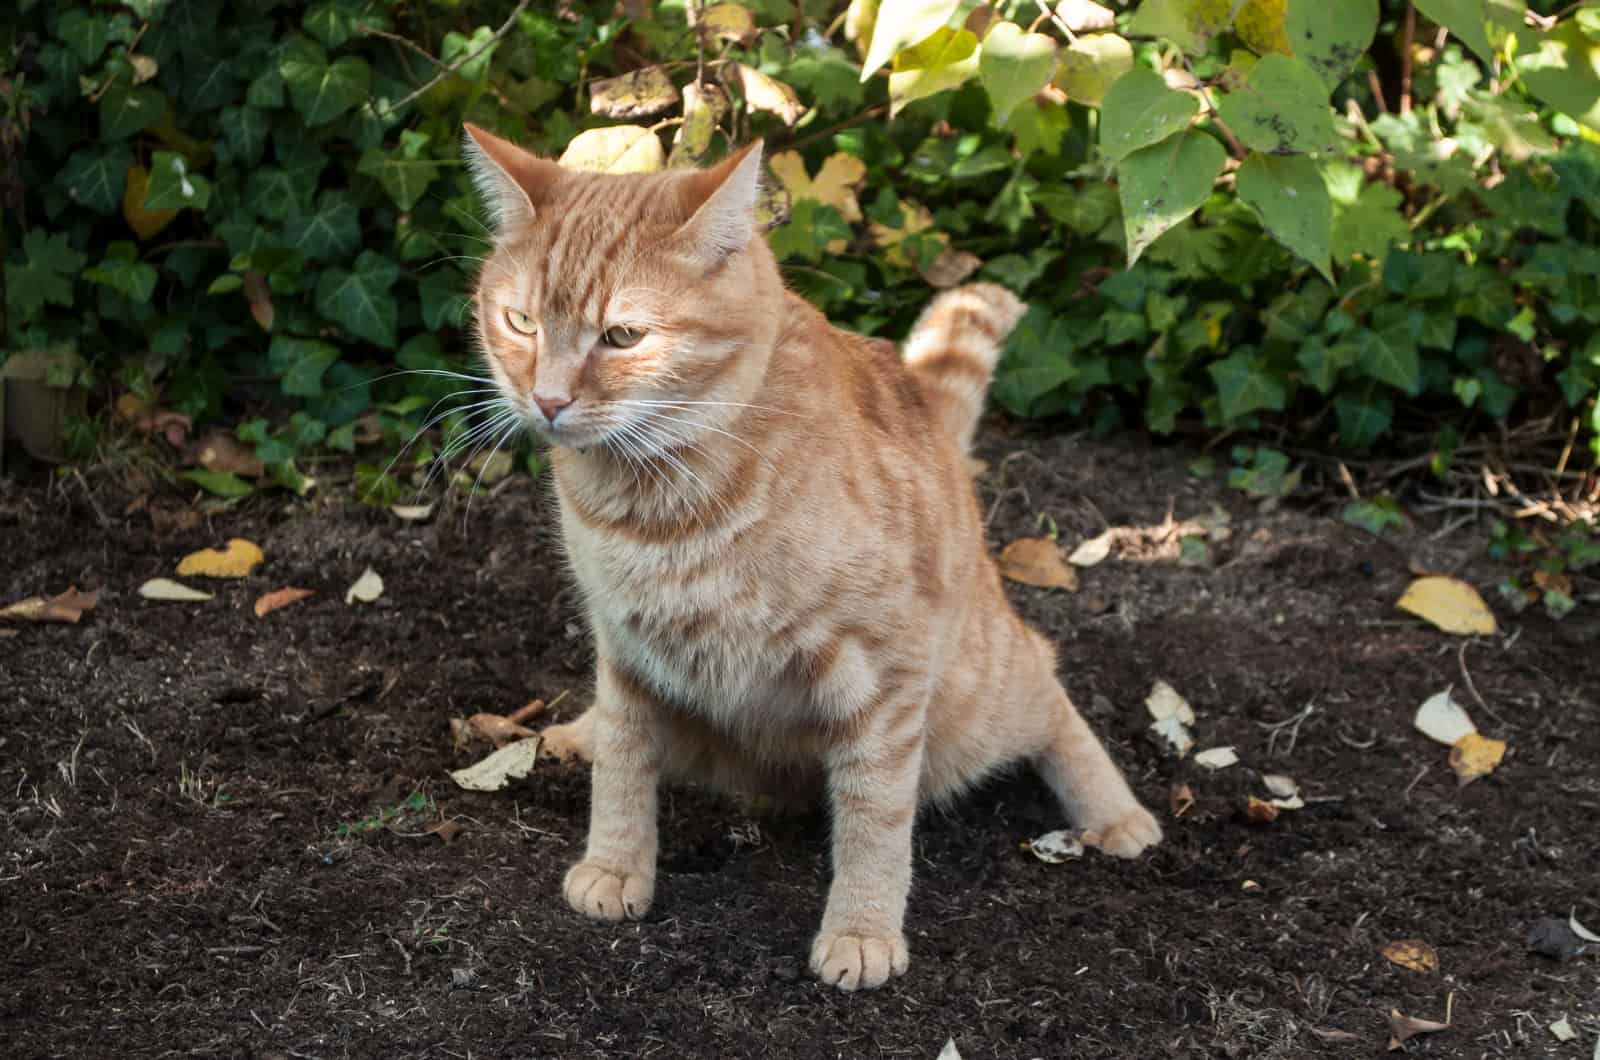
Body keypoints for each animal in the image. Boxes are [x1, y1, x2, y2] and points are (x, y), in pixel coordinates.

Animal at [464, 126, 1164, 999]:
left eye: (624, 336)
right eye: (520, 321)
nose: (549, 401)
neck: (660, 503)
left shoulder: (886, 673)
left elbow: (875, 815)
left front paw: (862, 930)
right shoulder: (623, 646)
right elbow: (624, 759)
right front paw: (617, 864)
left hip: (980, 694)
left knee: (1048, 689)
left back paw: (1114, 814)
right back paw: (575, 733)